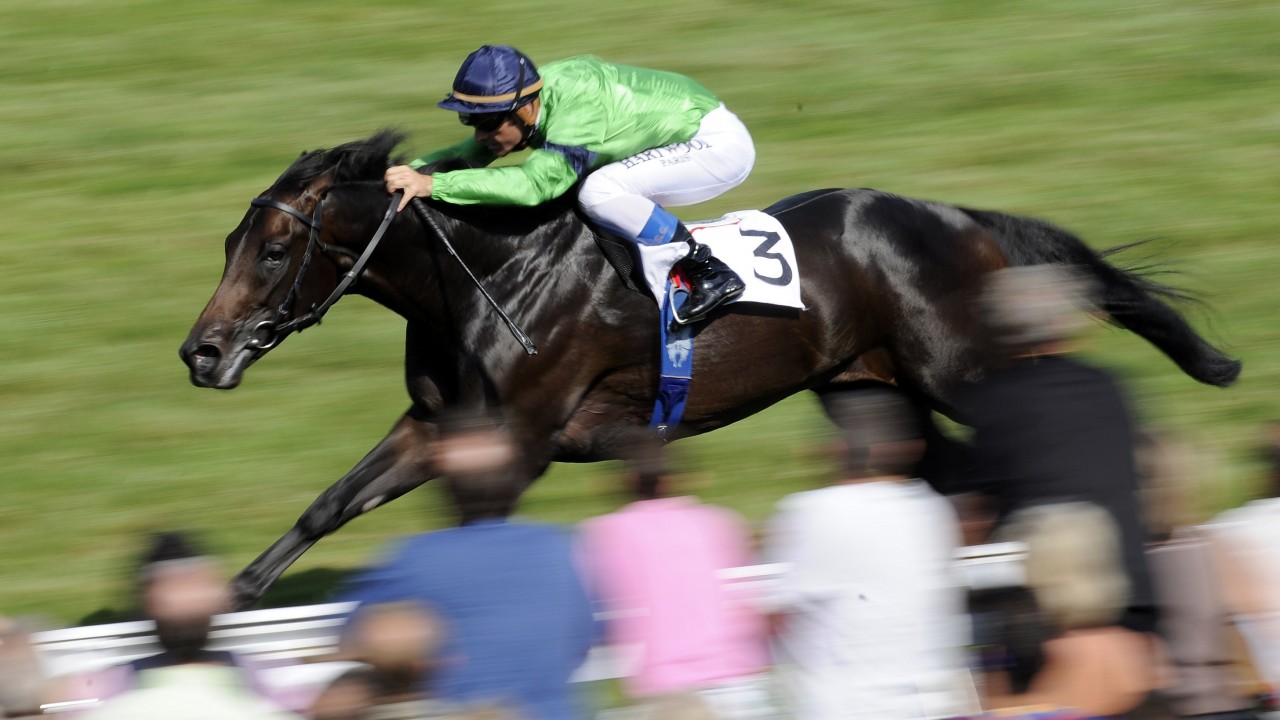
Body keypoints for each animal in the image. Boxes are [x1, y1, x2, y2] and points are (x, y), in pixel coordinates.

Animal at [180, 130, 1239, 604]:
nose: (201, 351)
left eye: (274, 249)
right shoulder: (439, 424)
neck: (488, 271)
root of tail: (958, 217)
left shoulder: (514, 442)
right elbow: (329, 506)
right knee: (948, 477)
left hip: (962, 372)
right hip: (866, 390)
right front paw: (234, 600)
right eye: (231, 240)